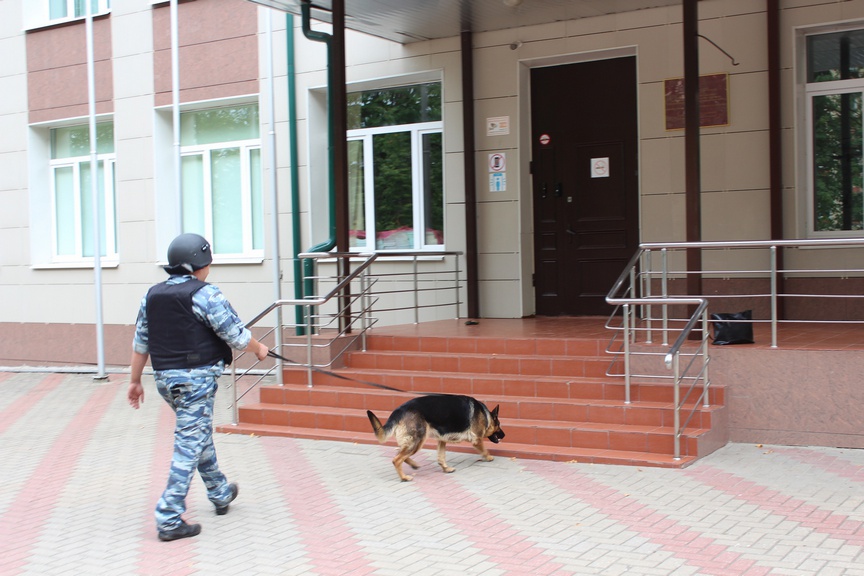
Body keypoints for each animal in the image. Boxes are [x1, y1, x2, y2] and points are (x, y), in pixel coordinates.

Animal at [366, 396, 502, 482]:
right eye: (499, 425)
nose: (504, 435)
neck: (485, 414)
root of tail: (398, 411)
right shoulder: (477, 439)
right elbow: (484, 450)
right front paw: (489, 457)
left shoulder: (441, 440)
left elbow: (441, 457)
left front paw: (446, 468)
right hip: (417, 441)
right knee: (397, 459)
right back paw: (404, 477)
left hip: (412, 442)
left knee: (399, 453)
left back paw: (414, 465)